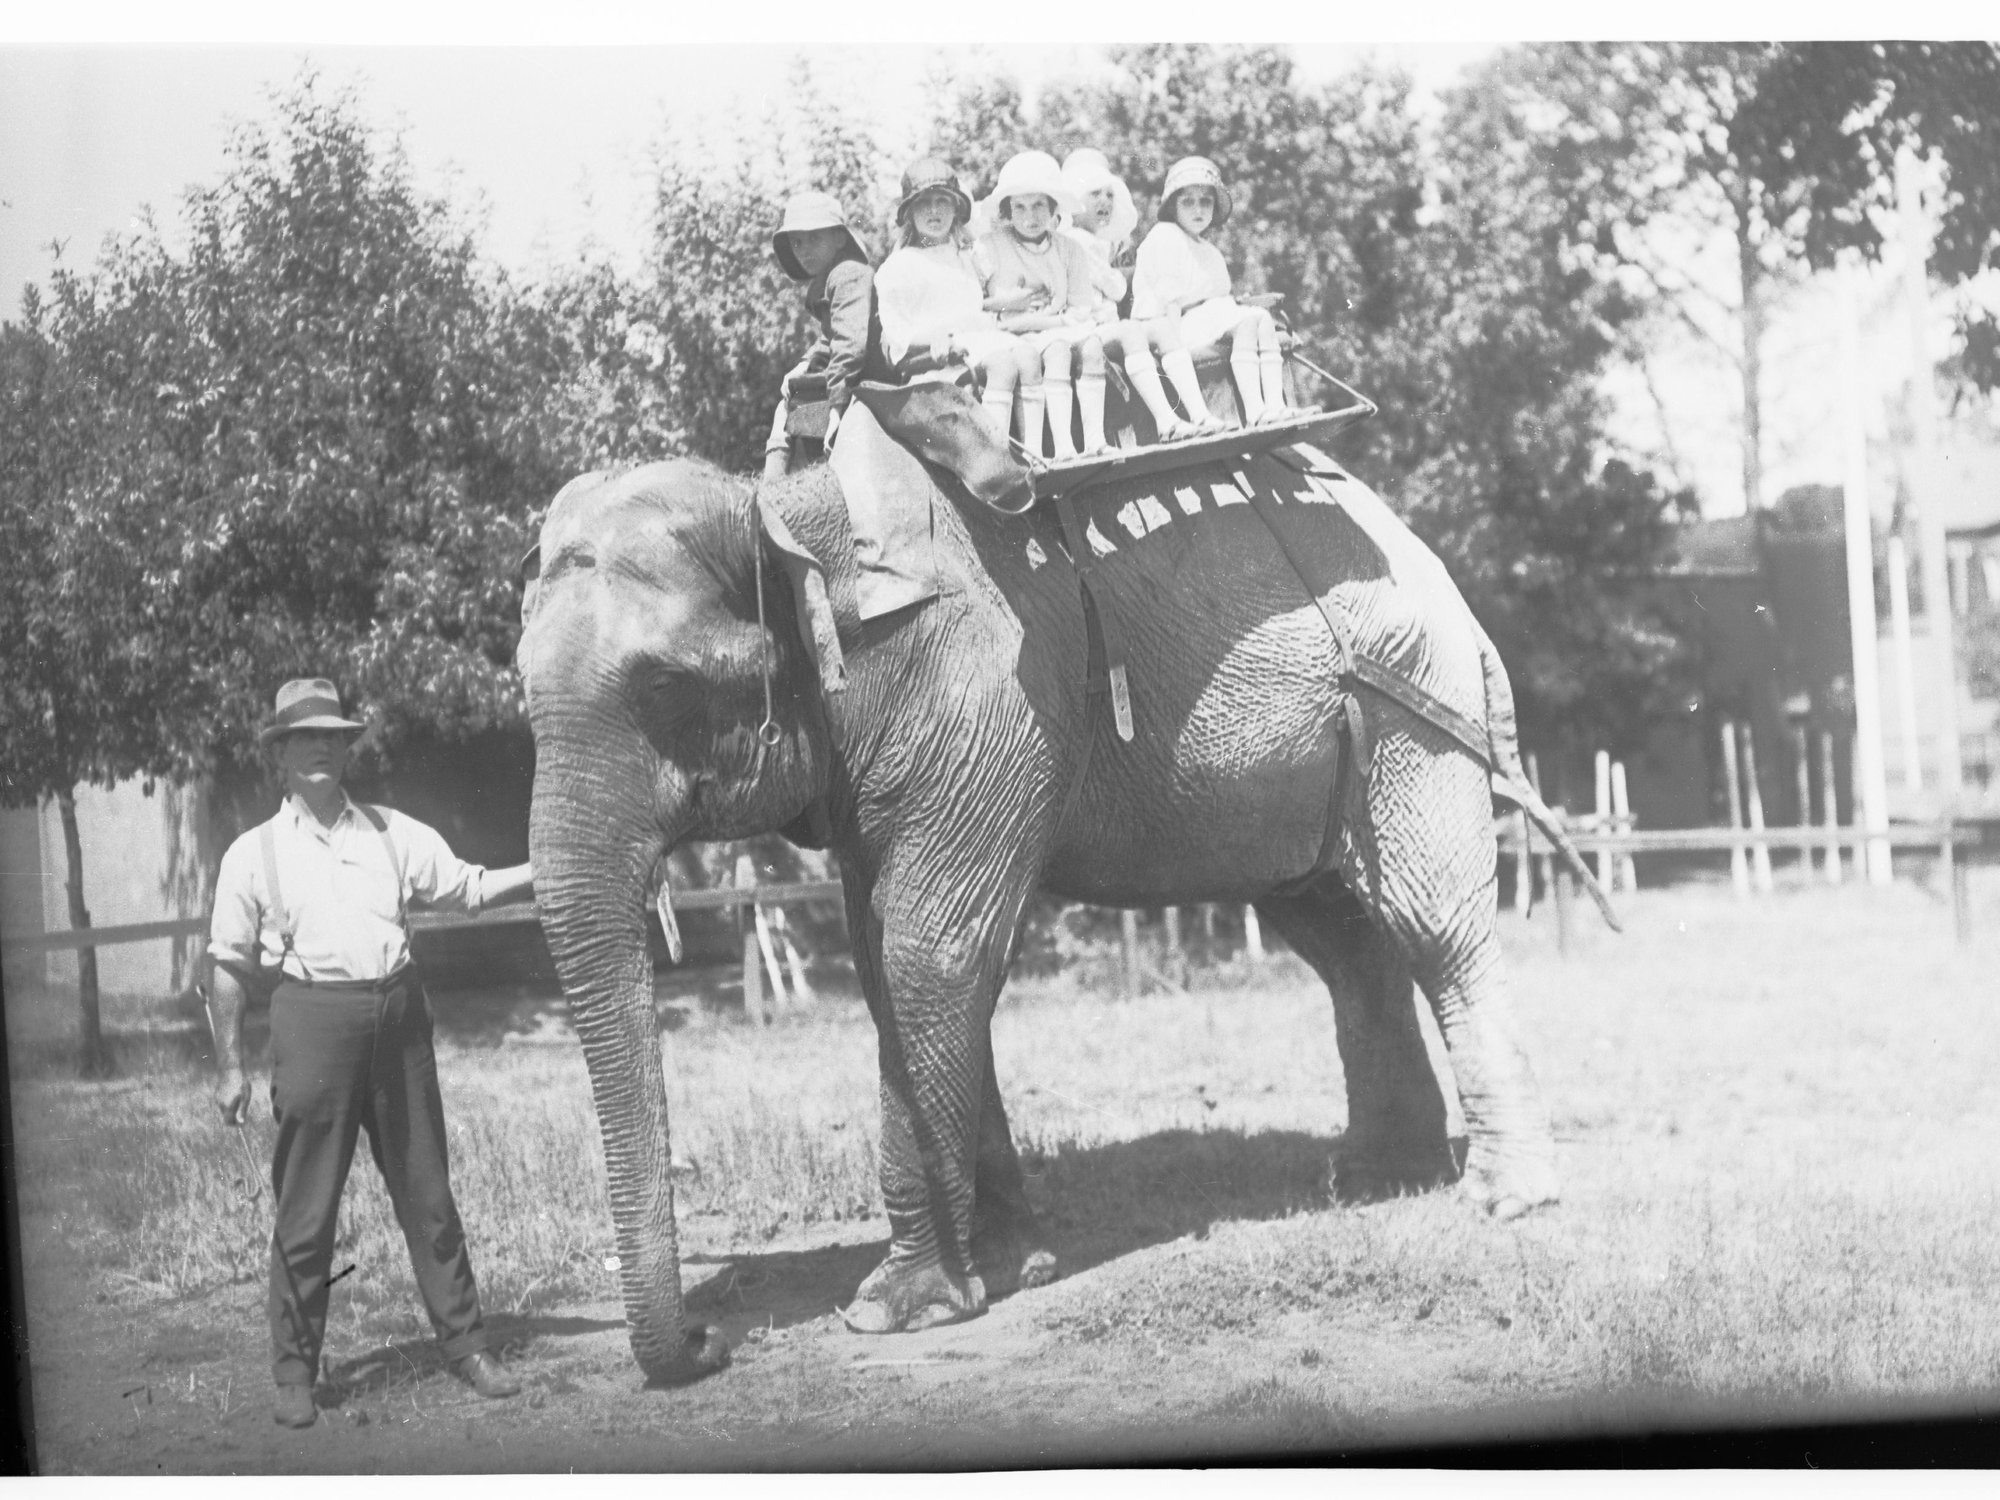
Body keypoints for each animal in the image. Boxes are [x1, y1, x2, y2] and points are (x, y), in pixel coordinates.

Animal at [516, 422, 1606, 1384]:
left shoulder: (985, 696)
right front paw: (1014, 1265)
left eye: (668, 686)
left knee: (1430, 926)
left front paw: (892, 1311)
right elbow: (882, 959)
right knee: (1337, 935)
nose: (710, 1341)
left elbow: (929, 950)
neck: (782, 507)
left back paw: (1502, 1200)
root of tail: (1452, 595)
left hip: (1404, 704)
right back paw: (1375, 1180)